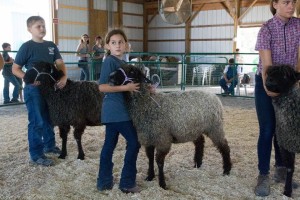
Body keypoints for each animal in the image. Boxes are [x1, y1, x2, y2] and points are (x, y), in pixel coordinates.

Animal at [266, 64, 300, 197]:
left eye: (286, 75)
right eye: (269, 73)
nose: (269, 80)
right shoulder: (286, 145)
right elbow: (290, 168)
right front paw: (287, 191)